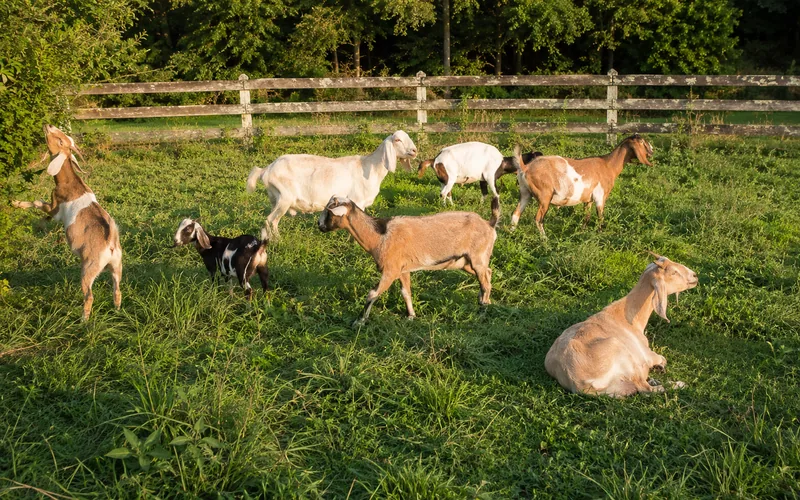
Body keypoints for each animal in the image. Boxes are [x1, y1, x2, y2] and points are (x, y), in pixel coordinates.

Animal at [12, 125, 122, 321]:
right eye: (64, 137)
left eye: (60, 140)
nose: (48, 125)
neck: (69, 181)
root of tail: (110, 243)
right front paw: (41, 223)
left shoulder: (55, 208)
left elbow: (38, 203)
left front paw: (16, 203)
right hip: (117, 266)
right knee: (117, 290)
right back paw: (116, 310)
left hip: (89, 268)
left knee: (89, 295)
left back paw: (83, 320)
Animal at [246, 130, 417, 239]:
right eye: (397, 140)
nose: (414, 151)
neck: (370, 167)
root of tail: (266, 170)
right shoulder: (358, 201)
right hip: (284, 198)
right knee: (270, 220)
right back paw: (278, 241)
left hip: (275, 198)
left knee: (269, 221)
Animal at [318, 195, 500, 324]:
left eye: (329, 212)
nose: (319, 225)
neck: (379, 236)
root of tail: (489, 224)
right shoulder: (402, 270)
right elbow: (406, 292)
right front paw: (411, 316)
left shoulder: (390, 270)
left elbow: (373, 293)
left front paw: (359, 321)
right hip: (466, 262)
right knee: (488, 274)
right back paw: (485, 301)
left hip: (477, 257)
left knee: (485, 281)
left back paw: (483, 310)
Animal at [511, 134, 653, 238]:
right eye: (642, 142)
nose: (652, 150)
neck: (608, 165)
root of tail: (525, 168)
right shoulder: (600, 197)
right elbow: (600, 217)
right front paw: (600, 234)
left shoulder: (588, 199)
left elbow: (587, 217)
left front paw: (582, 232)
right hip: (544, 196)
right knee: (538, 219)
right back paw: (545, 240)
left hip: (525, 193)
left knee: (515, 214)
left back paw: (511, 234)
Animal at [544, 253, 698, 398]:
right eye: (674, 273)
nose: (695, 275)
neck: (628, 318)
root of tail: (576, 381)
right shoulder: (647, 353)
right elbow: (661, 359)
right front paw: (660, 367)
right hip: (621, 352)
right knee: (645, 388)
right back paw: (677, 384)